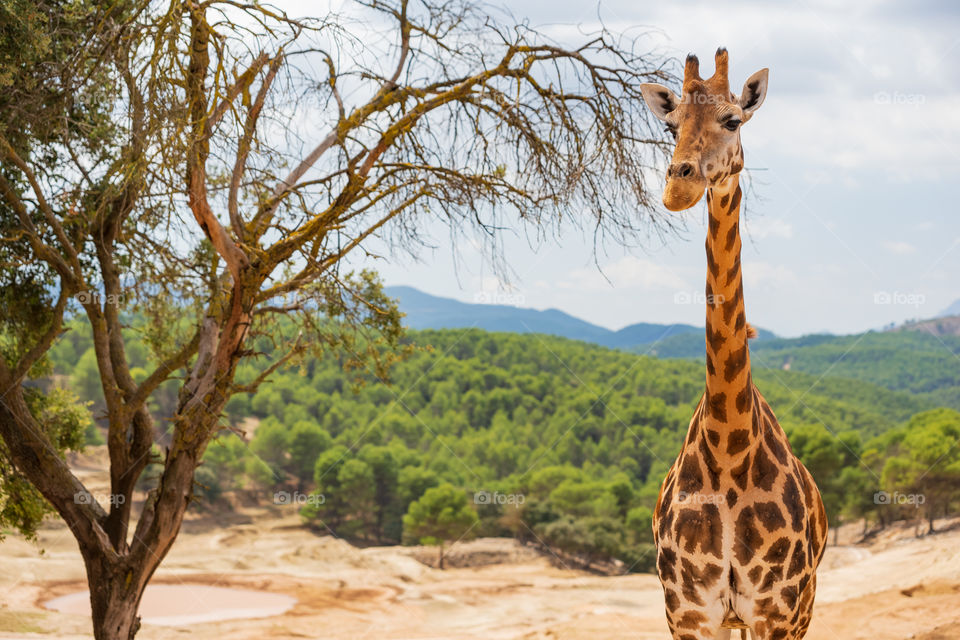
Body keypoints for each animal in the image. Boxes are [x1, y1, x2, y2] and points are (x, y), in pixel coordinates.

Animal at [639, 49, 828, 640]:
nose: (677, 187)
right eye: (671, 126)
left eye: (732, 120)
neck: (729, 453)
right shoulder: (689, 613)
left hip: (804, 605)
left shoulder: (777, 610)